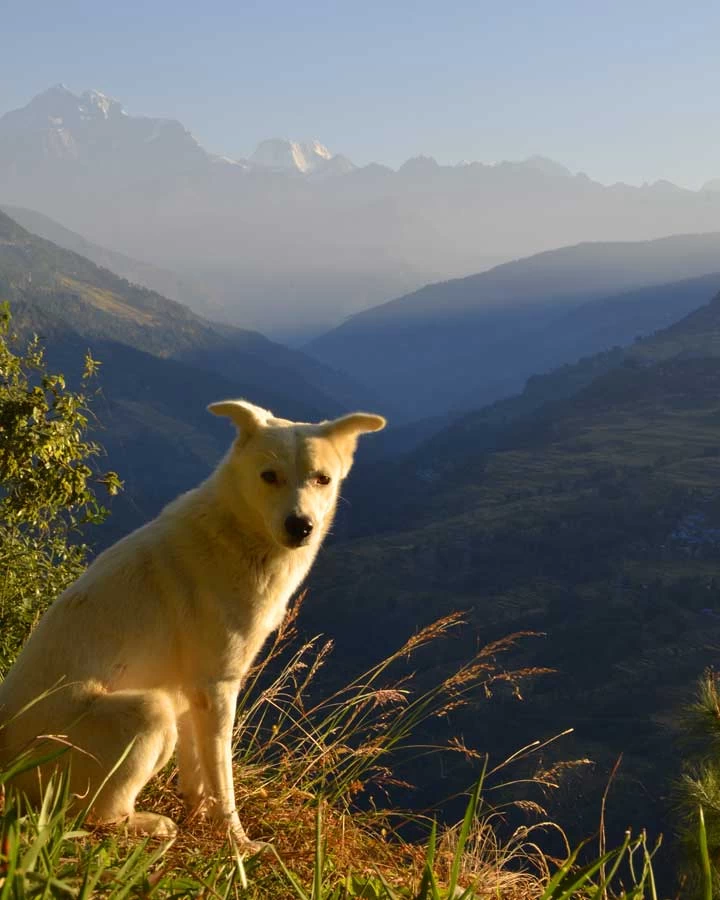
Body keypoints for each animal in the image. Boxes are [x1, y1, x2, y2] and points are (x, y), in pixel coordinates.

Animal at [0, 400, 382, 844]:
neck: (239, 535)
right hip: (149, 710)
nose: (301, 526)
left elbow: (197, 776)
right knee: (96, 814)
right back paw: (150, 824)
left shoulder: (190, 693)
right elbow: (222, 777)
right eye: (269, 476)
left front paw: (199, 818)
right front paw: (237, 841)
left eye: (323, 479)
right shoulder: (217, 689)